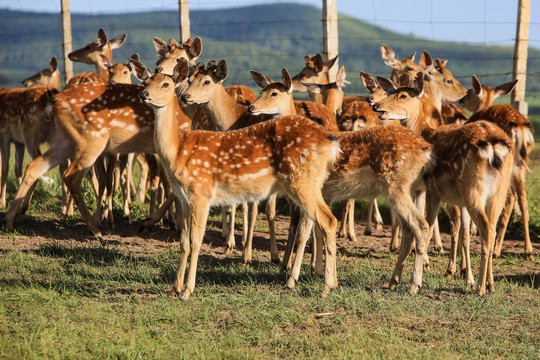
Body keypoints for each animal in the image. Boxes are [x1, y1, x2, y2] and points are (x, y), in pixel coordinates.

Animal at [140, 59, 342, 300]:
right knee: (314, 224)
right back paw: (315, 280)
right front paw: (175, 288)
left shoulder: (201, 191)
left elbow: (196, 242)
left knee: (328, 221)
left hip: (301, 180)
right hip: (312, 182)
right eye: (146, 81)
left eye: (166, 84)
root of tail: (330, 142)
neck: (178, 149)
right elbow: (184, 242)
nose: (144, 94)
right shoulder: (184, 198)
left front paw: (187, 290)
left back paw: (326, 286)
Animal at [376, 72, 516, 296]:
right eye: (389, 92)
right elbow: (461, 233)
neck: (426, 133)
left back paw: (480, 289)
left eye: (403, 95)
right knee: (492, 228)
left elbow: (421, 228)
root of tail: (494, 147)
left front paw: (406, 280)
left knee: (486, 230)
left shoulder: (430, 190)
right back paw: (490, 284)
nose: (377, 106)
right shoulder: (452, 199)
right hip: (497, 192)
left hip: (473, 188)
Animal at [458, 76, 532, 262]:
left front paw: (473, 231)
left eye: (468, 92)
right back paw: (527, 251)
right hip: (518, 166)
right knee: (522, 200)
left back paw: (497, 250)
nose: (460, 100)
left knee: (510, 198)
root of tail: (520, 128)